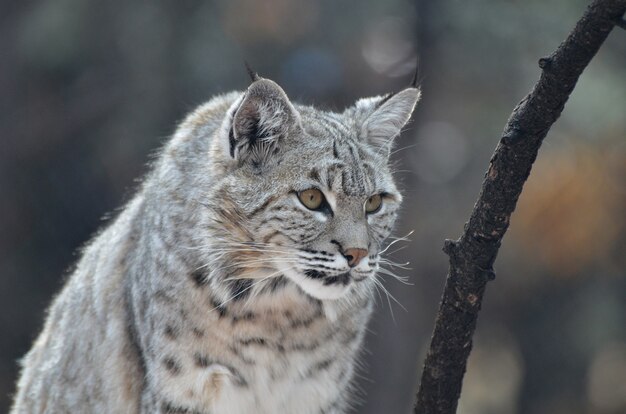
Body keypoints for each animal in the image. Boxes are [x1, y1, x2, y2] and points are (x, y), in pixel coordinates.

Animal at [11, 73, 420, 412]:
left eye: (374, 203)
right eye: (312, 199)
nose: (358, 254)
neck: (279, 314)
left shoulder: (318, 393)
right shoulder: (182, 390)